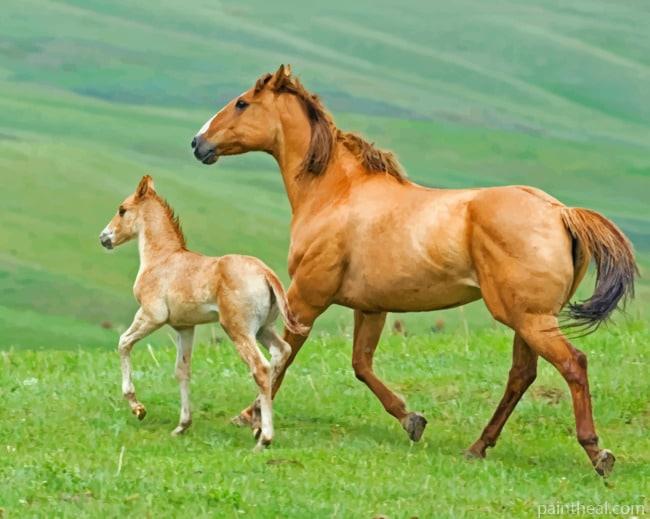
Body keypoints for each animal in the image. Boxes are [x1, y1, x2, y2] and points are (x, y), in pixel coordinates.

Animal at [99, 175, 307, 450]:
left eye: (122, 210)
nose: (104, 238)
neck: (162, 259)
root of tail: (265, 273)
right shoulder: (184, 327)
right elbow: (182, 370)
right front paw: (182, 426)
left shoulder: (151, 316)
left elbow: (123, 343)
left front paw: (138, 408)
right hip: (263, 329)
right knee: (281, 352)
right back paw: (256, 421)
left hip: (238, 330)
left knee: (261, 368)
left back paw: (264, 438)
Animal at [190, 65, 637, 475]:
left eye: (242, 102)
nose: (197, 143)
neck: (335, 193)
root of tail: (560, 212)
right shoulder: (370, 307)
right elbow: (361, 365)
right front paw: (412, 420)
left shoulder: (306, 297)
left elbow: (283, 356)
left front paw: (249, 417)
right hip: (527, 318)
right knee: (522, 374)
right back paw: (478, 447)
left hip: (529, 318)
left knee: (573, 364)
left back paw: (597, 453)